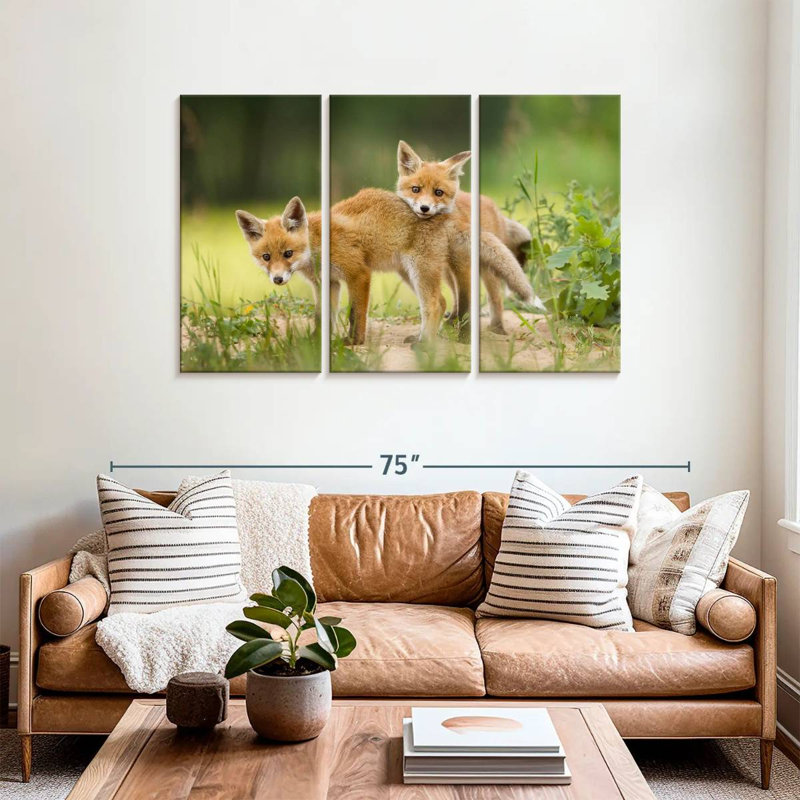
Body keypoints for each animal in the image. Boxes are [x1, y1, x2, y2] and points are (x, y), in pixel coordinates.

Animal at [395, 140, 543, 335]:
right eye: (415, 189)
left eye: (438, 192)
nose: (424, 208)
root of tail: (494, 207)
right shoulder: (451, 267)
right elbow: (459, 298)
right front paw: (452, 323)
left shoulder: (463, 265)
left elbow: (465, 299)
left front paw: (461, 328)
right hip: (448, 270)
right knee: (458, 295)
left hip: (487, 269)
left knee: (496, 299)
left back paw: (497, 328)